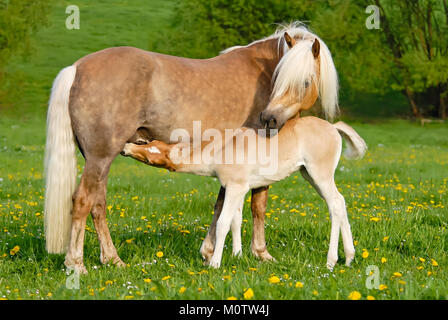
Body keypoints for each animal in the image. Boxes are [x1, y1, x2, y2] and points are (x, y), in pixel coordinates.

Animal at [121, 116, 366, 268]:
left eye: (151, 156)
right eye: (148, 143)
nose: (125, 148)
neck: (221, 149)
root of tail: (333, 127)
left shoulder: (235, 187)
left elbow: (222, 223)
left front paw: (215, 263)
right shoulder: (238, 189)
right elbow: (235, 221)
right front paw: (237, 256)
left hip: (320, 174)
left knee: (335, 204)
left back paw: (331, 261)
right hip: (309, 175)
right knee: (340, 202)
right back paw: (349, 258)